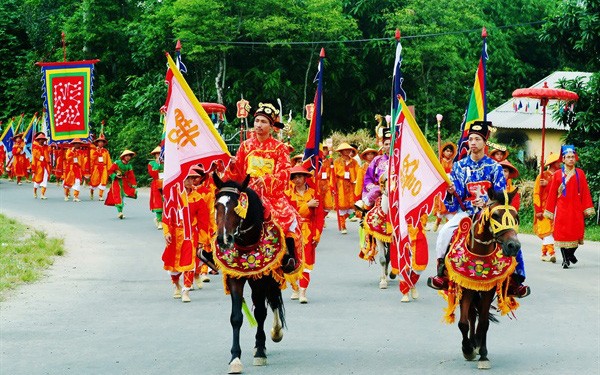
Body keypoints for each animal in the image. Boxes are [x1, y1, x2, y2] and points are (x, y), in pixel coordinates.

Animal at [212, 175, 288, 374]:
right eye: (216, 206)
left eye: (236, 206)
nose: (224, 239)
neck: (247, 244)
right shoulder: (235, 278)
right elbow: (236, 317)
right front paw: (235, 358)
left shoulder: (262, 277)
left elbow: (261, 313)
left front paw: (260, 352)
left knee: (273, 301)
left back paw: (275, 333)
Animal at [446, 189, 520, 372]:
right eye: (495, 215)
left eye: (516, 216)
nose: (513, 246)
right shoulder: (464, 287)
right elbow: (463, 323)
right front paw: (467, 349)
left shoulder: (488, 289)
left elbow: (484, 323)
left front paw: (483, 354)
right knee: (472, 315)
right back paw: (472, 343)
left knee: (477, 316)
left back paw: (477, 342)